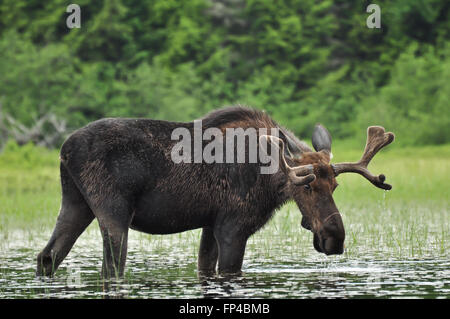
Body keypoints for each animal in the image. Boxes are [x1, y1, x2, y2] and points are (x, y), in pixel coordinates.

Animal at [35, 107, 394, 278]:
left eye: (334, 185)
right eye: (305, 186)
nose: (335, 238)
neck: (269, 176)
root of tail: (64, 150)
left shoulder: (210, 224)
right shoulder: (233, 227)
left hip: (75, 203)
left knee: (47, 256)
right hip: (113, 211)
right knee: (111, 269)